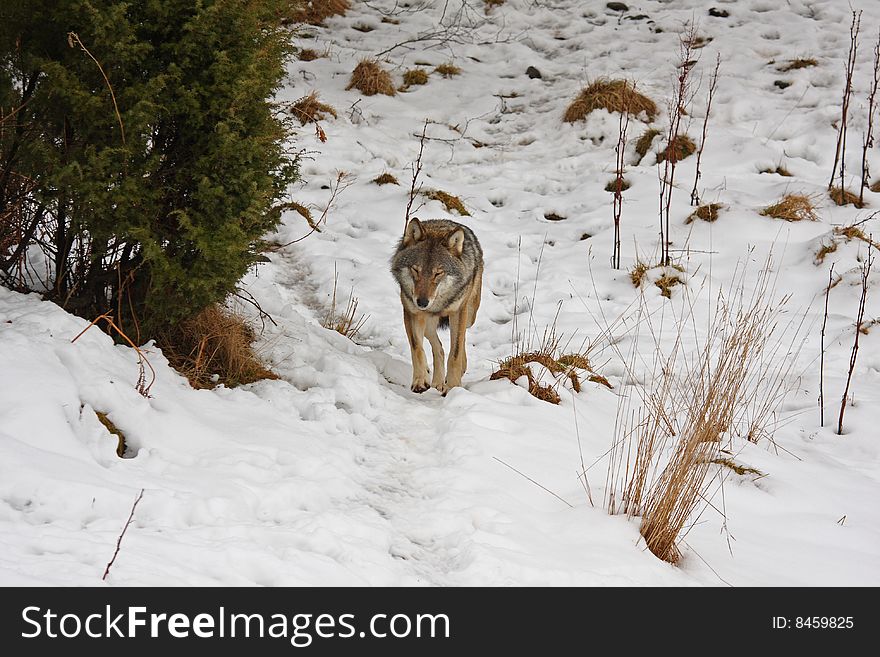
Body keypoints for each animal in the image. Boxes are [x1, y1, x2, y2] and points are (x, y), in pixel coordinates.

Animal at [392, 217, 484, 394]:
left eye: (438, 273)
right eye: (416, 270)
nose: (422, 302)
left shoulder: (458, 312)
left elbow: (455, 353)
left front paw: (454, 387)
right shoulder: (411, 312)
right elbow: (417, 348)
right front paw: (420, 380)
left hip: (469, 316)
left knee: (461, 340)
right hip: (428, 323)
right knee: (439, 348)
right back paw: (437, 382)